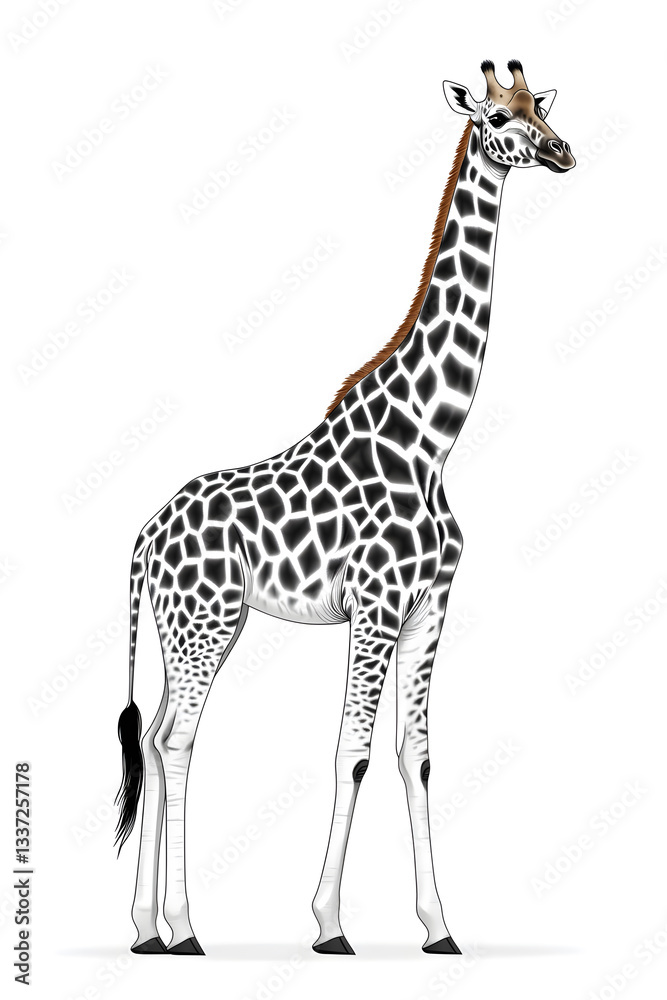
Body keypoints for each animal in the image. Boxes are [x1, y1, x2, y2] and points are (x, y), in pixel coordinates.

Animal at [115, 60, 575, 956]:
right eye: (500, 117)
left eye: (540, 108)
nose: (563, 151)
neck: (431, 437)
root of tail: (144, 540)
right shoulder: (376, 605)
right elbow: (350, 753)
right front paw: (329, 924)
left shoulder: (430, 605)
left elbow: (414, 754)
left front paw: (438, 927)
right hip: (205, 624)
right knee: (178, 739)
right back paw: (184, 929)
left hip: (191, 627)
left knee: (153, 737)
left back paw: (146, 927)